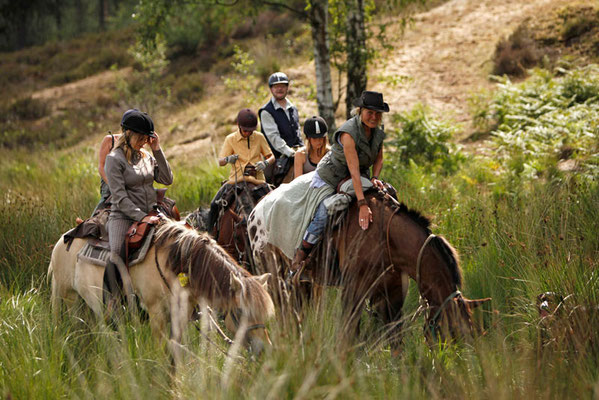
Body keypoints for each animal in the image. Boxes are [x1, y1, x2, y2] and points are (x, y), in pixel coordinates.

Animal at [248, 189, 492, 346]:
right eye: (452, 333)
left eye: (471, 332)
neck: (386, 236)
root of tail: (254, 212)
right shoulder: (352, 291)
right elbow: (348, 336)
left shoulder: (393, 293)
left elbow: (395, 340)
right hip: (276, 281)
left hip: (301, 284)